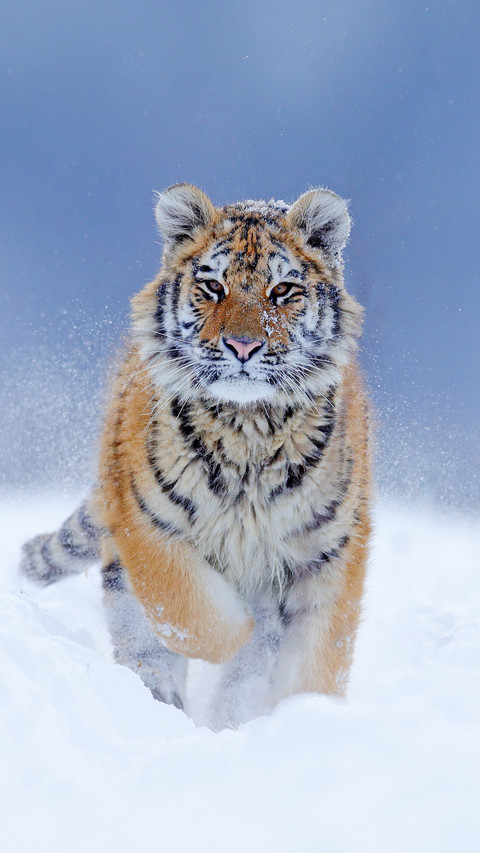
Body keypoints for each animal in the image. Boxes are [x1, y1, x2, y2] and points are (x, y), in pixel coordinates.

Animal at [21, 183, 371, 729]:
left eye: (282, 291)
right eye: (212, 286)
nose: (243, 346)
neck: (249, 428)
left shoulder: (329, 547)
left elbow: (319, 654)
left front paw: (307, 717)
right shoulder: (147, 524)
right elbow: (196, 615)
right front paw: (244, 631)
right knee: (144, 637)